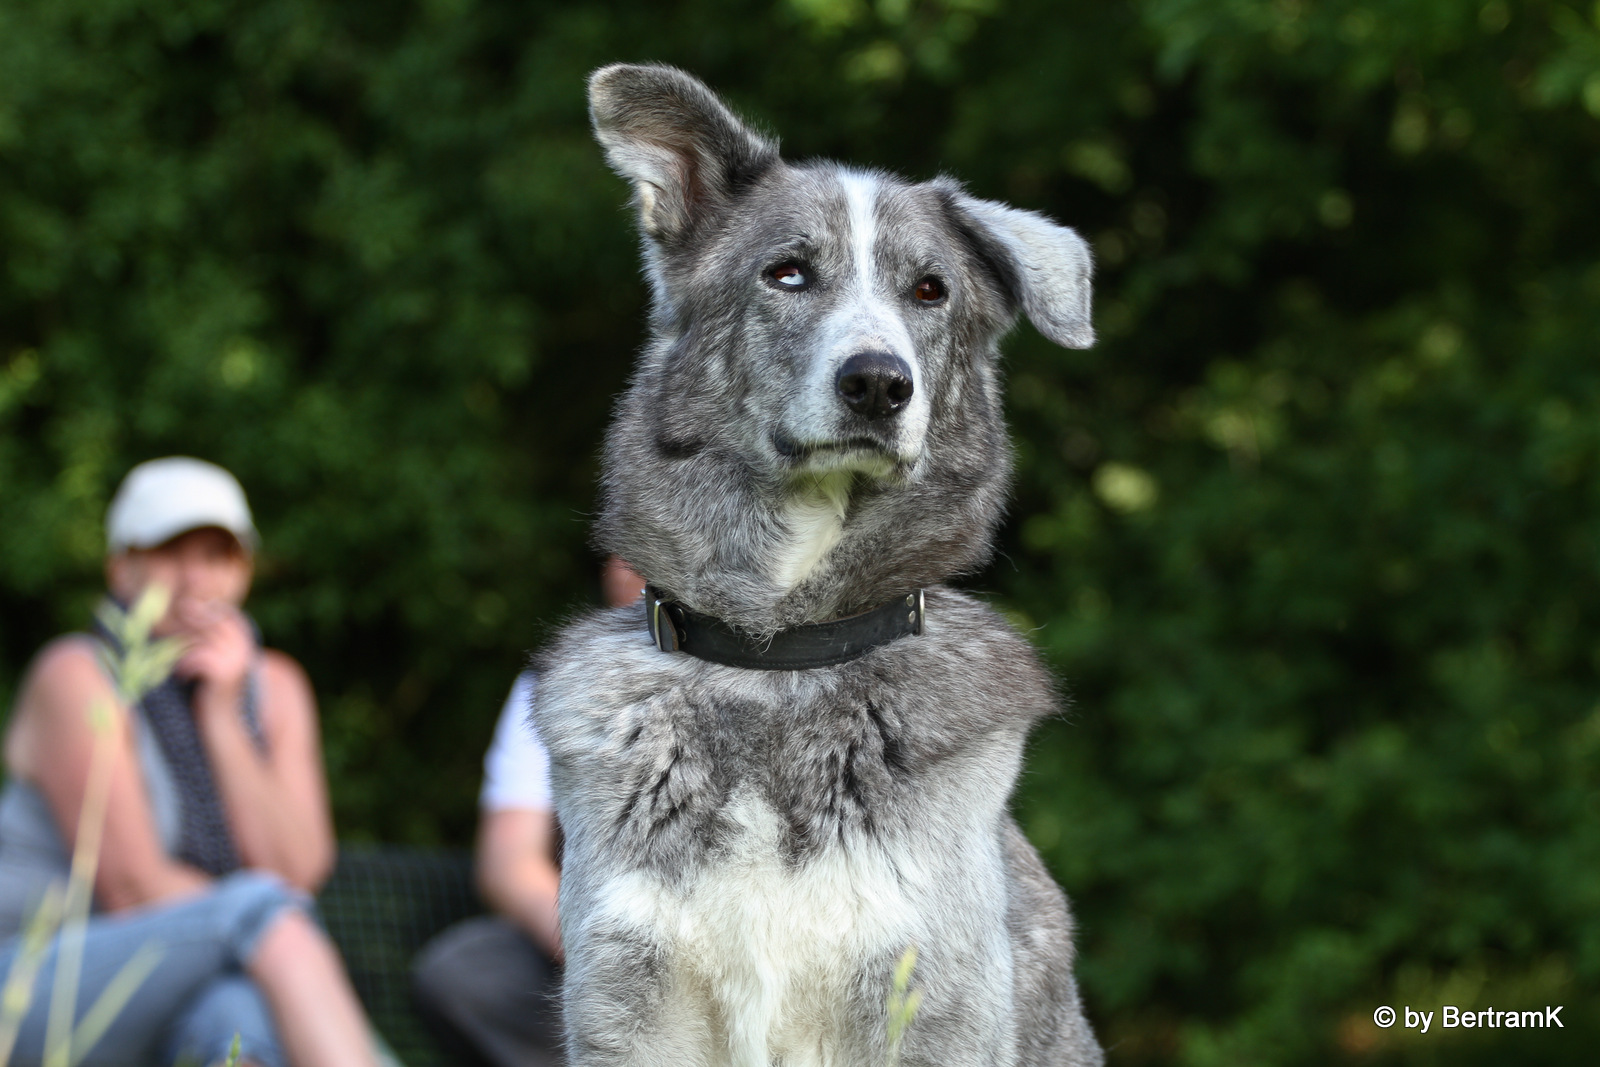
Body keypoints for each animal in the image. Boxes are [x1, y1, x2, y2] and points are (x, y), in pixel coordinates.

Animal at [531, 64, 1107, 1067]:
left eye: (930, 289)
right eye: (787, 272)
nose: (878, 382)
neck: (779, 657)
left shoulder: (928, 999)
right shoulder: (628, 999)